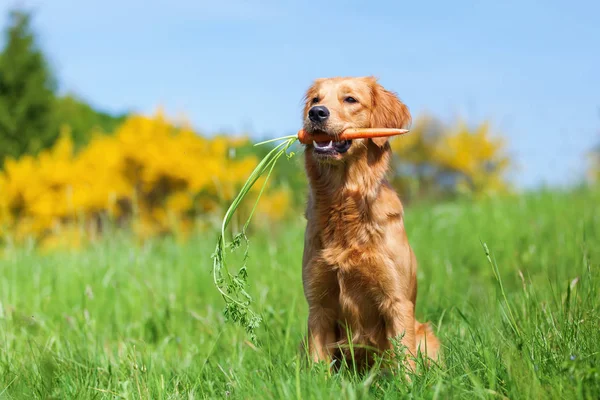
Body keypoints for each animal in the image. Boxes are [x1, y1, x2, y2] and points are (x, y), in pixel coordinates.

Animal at [302, 76, 438, 370]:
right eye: (316, 99)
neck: (344, 204)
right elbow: (318, 364)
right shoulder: (318, 306)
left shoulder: (396, 301)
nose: (315, 114)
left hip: (426, 335)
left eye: (350, 99)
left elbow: (405, 363)